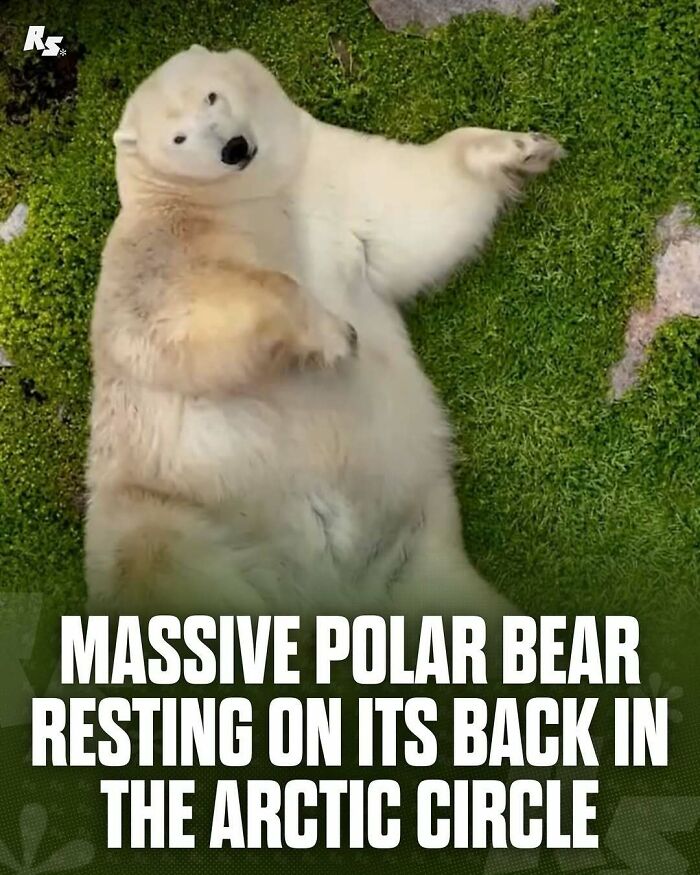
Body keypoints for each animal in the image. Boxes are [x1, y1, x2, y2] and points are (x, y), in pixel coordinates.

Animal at [86, 45, 563, 618]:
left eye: (212, 96)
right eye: (177, 138)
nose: (233, 148)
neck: (243, 197)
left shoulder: (323, 177)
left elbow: (411, 211)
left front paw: (523, 147)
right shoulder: (154, 247)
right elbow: (167, 309)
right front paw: (333, 336)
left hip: (417, 555)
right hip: (162, 509)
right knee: (159, 557)